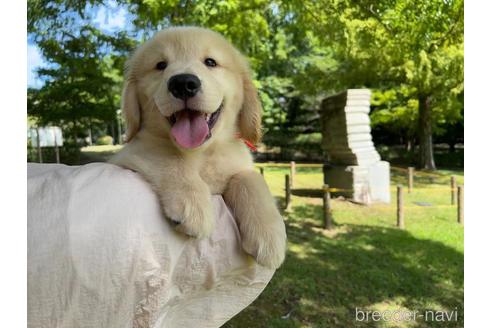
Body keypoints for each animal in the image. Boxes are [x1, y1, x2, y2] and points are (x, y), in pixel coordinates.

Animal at [109, 26, 286, 270]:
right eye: (160, 65)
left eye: (210, 62)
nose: (183, 83)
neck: (202, 153)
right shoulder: (132, 151)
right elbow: (168, 156)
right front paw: (192, 204)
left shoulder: (238, 166)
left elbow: (251, 179)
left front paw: (269, 234)